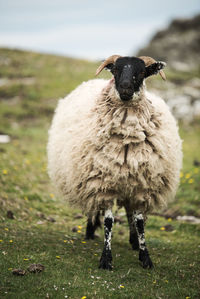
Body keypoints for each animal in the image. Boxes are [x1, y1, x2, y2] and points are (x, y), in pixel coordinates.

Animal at [47, 54, 182, 272]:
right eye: (116, 70)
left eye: (142, 72)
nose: (125, 88)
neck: (127, 140)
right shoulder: (104, 184)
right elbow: (109, 222)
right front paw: (106, 259)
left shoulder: (142, 186)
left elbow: (139, 221)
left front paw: (145, 257)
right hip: (91, 180)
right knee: (94, 208)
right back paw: (90, 231)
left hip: (128, 185)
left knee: (129, 213)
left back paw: (133, 241)